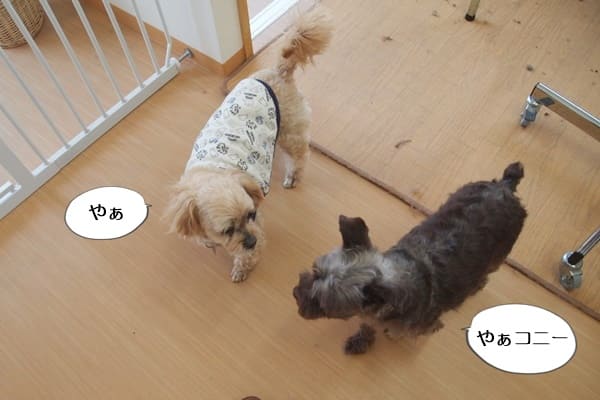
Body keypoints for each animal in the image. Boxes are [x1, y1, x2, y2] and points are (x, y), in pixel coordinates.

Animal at [164, 8, 333, 282]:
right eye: (226, 230)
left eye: (251, 215)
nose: (252, 241)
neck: (214, 167)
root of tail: (278, 71)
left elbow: (246, 257)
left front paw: (242, 267)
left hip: (290, 134)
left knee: (299, 158)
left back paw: (292, 177)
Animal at [293, 162, 527, 354]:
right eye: (315, 271)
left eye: (322, 303)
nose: (295, 293)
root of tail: (505, 186)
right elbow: (368, 325)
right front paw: (362, 339)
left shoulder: (424, 325)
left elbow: (399, 331)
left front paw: (389, 334)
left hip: (498, 254)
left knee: (487, 272)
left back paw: (477, 285)